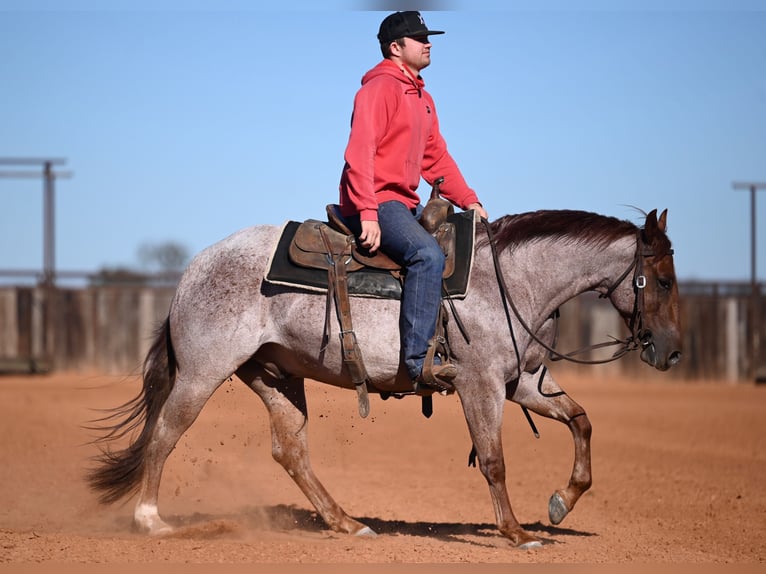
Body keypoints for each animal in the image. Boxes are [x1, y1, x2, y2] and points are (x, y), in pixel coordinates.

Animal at [87, 208, 682, 549]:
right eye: (661, 279)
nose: (673, 351)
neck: (511, 282)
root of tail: (192, 271)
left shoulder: (525, 383)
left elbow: (581, 421)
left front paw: (561, 502)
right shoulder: (481, 384)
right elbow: (493, 459)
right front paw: (515, 533)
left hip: (276, 375)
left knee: (290, 450)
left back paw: (346, 522)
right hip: (203, 373)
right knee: (165, 434)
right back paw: (151, 522)